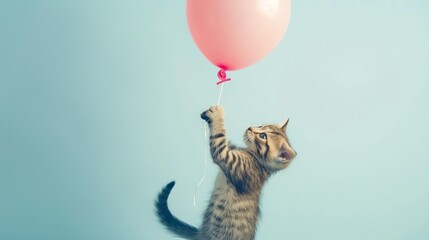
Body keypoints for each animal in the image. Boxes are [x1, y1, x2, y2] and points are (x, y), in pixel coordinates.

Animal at [155, 106, 296, 239]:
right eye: (260, 126)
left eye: (262, 136)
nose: (250, 128)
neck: (257, 161)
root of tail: (201, 234)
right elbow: (225, 141)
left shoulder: (231, 161)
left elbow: (219, 139)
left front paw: (217, 114)